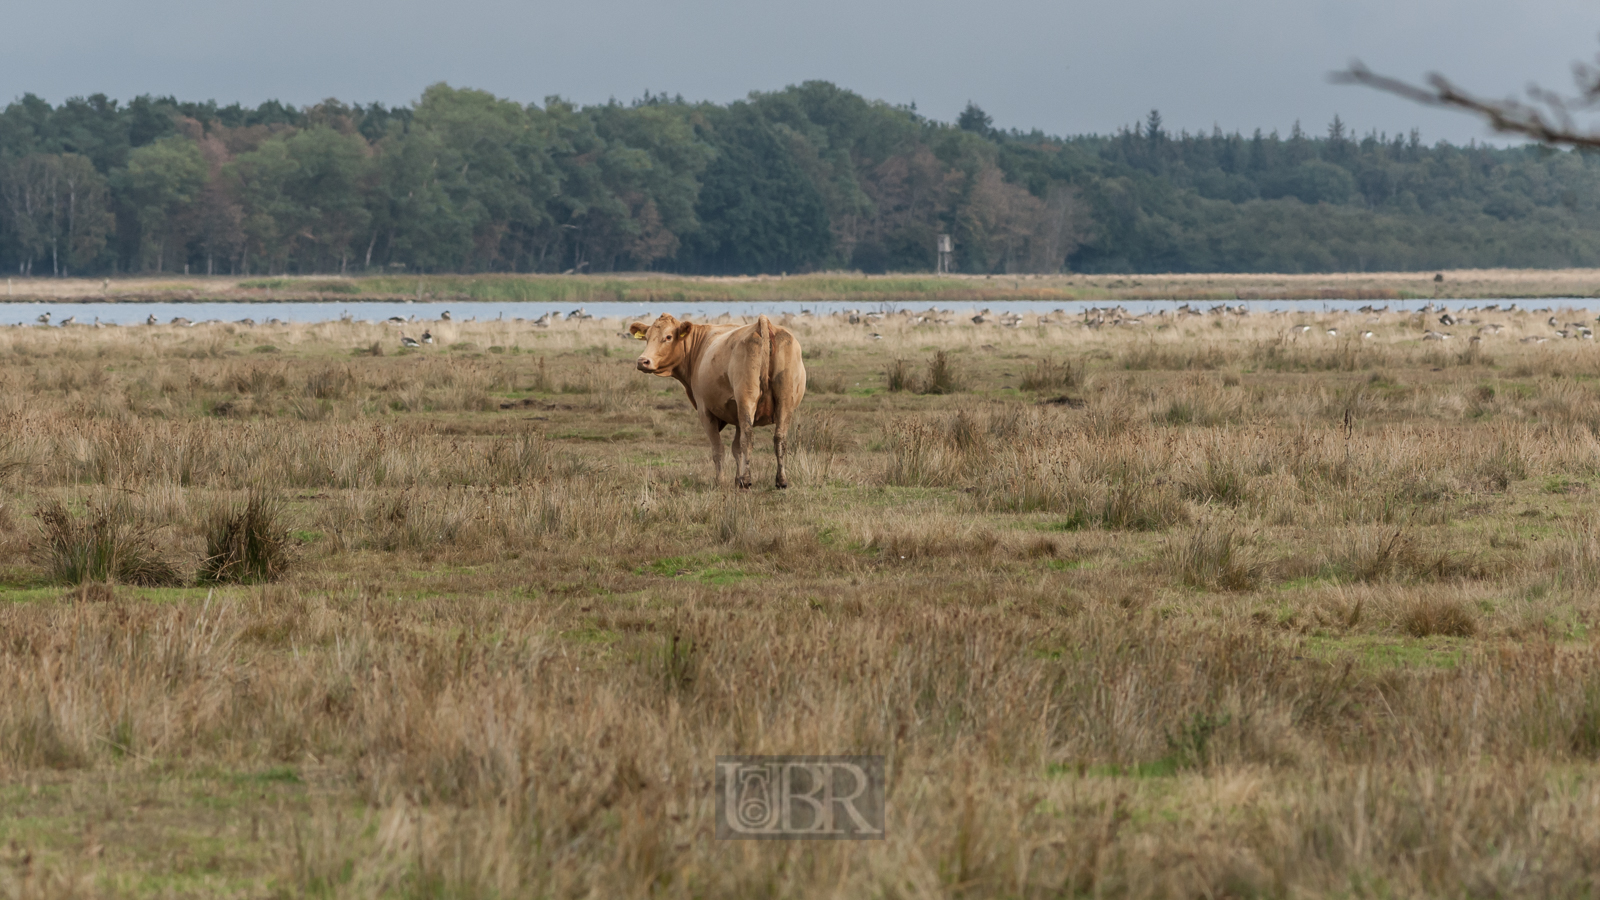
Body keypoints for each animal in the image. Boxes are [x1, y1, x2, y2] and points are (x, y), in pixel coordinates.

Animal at [627, 312, 806, 486]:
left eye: (668, 336)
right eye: (647, 337)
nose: (643, 361)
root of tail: (763, 324)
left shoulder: (705, 411)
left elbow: (718, 449)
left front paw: (722, 481)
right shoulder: (736, 413)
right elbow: (736, 448)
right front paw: (736, 479)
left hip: (747, 398)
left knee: (748, 437)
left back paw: (747, 480)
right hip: (784, 400)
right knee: (779, 438)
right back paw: (781, 480)